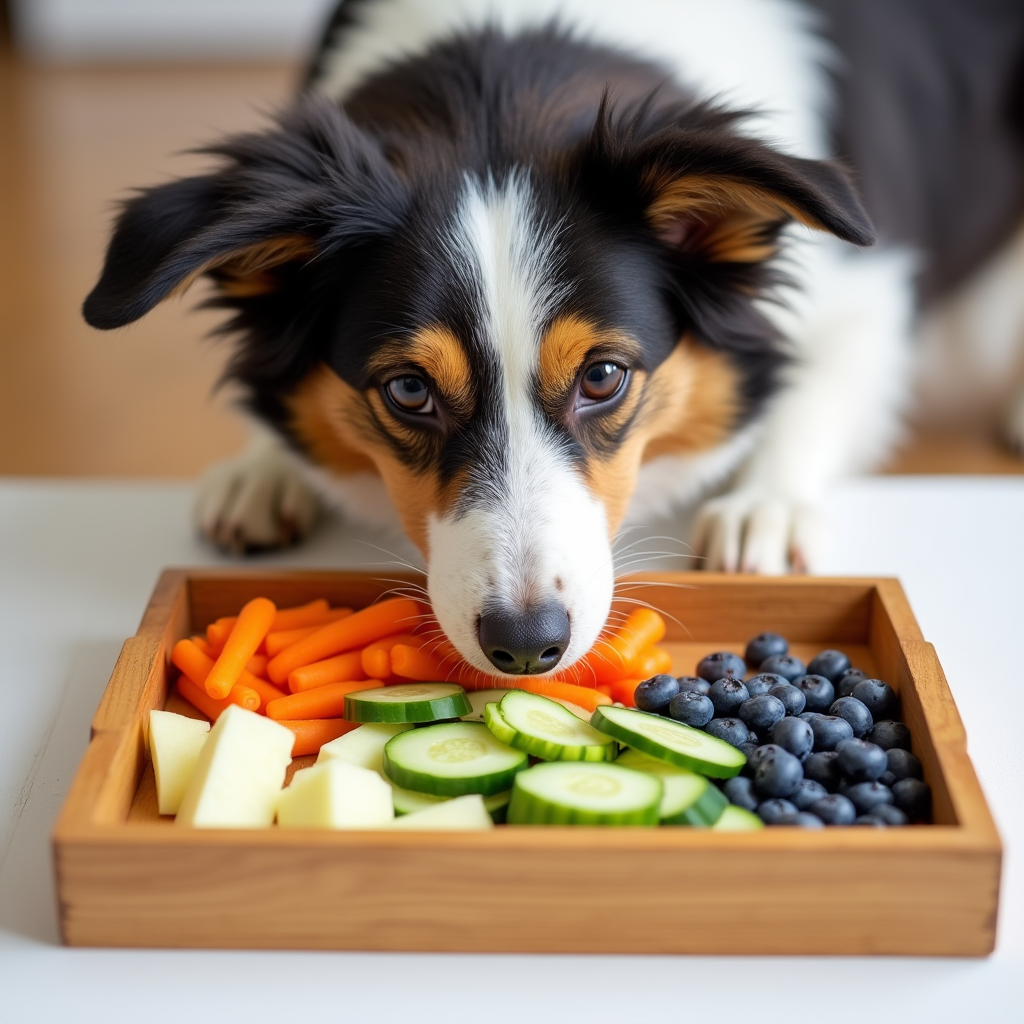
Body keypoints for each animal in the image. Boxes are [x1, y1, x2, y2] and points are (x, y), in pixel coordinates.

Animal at [83, 2, 1024, 679]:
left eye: (603, 377)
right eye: (408, 391)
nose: (527, 644)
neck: (506, 67)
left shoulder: (868, 290)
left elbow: (823, 379)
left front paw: (767, 504)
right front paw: (265, 468)